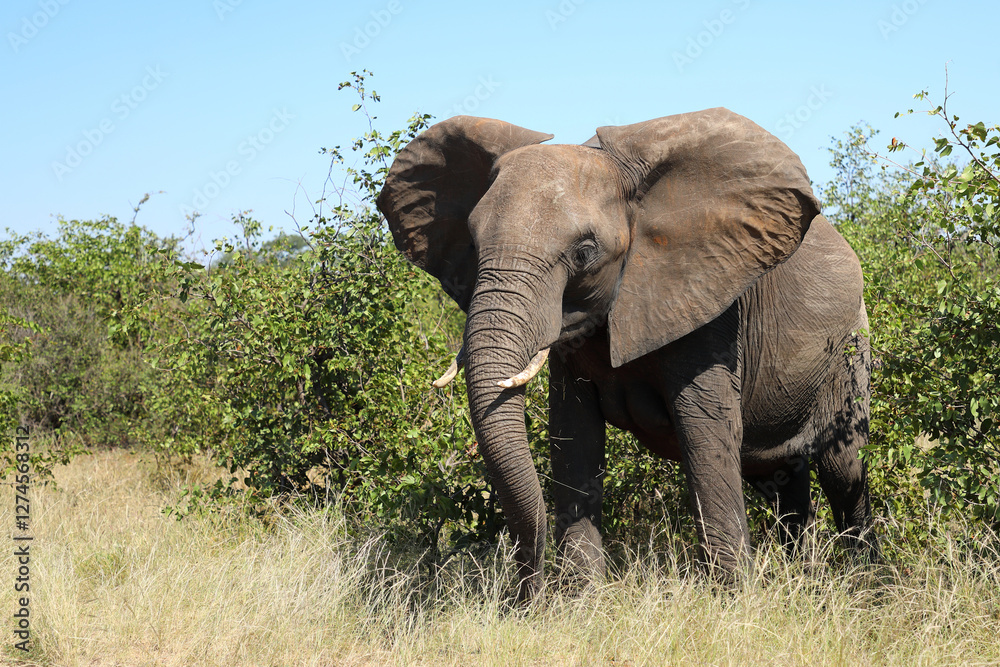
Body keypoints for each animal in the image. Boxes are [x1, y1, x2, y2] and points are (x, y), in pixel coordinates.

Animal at [376, 108, 876, 601]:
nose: (525, 597)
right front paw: (582, 603)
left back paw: (865, 586)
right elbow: (574, 440)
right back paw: (804, 579)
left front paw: (734, 600)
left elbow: (706, 436)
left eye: (584, 252)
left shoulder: (708, 304)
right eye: (473, 244)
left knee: (843, 468)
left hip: (850, 351)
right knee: (781, 481)